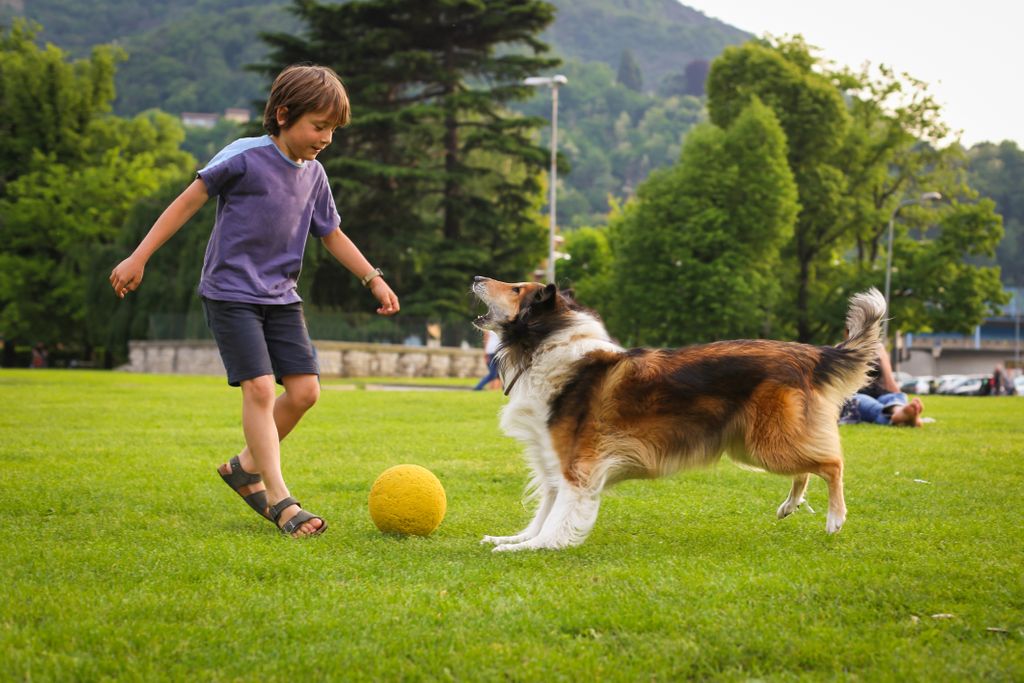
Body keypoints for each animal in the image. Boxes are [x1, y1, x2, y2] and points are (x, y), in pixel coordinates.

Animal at [471, 274, 888, 552]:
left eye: (515, 289)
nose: (476, 277)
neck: (544, 344)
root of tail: (806, 353)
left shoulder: (577, 466)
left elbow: (557, 517)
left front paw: (532, 547)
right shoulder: (553, 461)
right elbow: (544, 510)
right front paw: (516, 538)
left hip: (767, 444)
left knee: (832, 463)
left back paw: (835, 518)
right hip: (756, 444)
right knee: (807, 466)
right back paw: (790, 505)